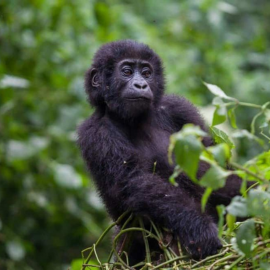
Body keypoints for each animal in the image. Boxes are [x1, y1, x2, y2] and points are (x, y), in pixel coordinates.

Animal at [77, 40, 243, 264]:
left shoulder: (179, 108)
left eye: (147, 73)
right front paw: (198, 228)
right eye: (127, 71)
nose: (140, 85)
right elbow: (134, 180)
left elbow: (215, 168)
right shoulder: (95, 132)